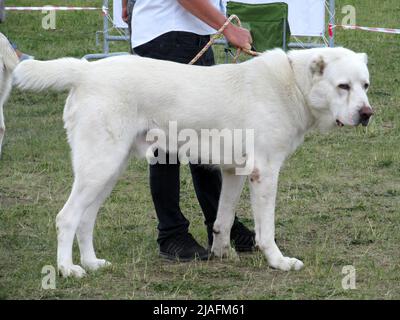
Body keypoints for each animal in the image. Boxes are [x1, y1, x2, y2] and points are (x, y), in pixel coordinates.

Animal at [14, 47, 374, 278]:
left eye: (365, 86)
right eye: (343, 86)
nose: (367, 114)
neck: (295, 84)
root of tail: (86, 69)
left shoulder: (234, 172)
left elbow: (222, 220)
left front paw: (223, 254)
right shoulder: (265, 173)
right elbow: (266, 231)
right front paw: (278, 262)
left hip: (107, 172)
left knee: (85, 220)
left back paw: (92, 264)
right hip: (99, 168)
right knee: (66, 218)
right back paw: (68, 270)